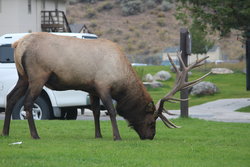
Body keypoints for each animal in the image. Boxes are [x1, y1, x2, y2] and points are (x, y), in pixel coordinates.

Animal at [1, 32, 210, 140]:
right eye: (151, 121)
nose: (150, 137)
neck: (121, 78)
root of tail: (18, 44)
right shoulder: (103, 85)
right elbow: (111, 110)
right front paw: (117, 136)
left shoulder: (92, 88)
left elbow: (94, 111)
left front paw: (98, 135)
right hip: (38, 75)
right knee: (28, 103)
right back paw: (35, 135)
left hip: (23, 77)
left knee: (10, 98)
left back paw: (5, 133)